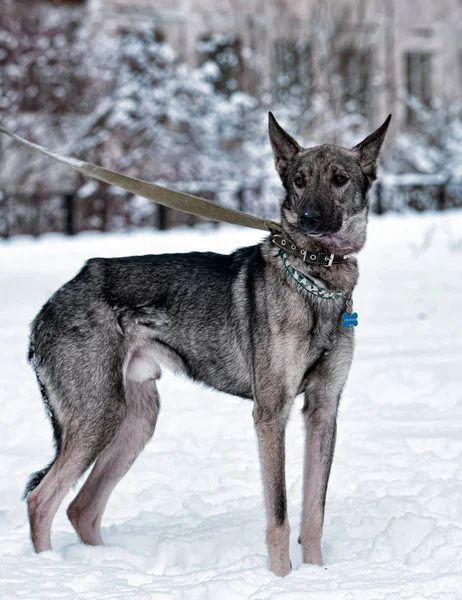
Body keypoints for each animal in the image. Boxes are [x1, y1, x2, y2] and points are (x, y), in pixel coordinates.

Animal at [26, 112, 390, 576]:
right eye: (299, 180)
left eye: (340, 179)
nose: (307, 217)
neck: (315, 276)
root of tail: (49, 304)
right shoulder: (271, 414)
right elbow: (280, 514)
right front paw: (282, 578)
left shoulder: (323, 410)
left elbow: (314, 511)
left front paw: (317, 575)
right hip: (98, 416)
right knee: (41, 500)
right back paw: (51, 571)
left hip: (136, 420)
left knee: (81, 508)